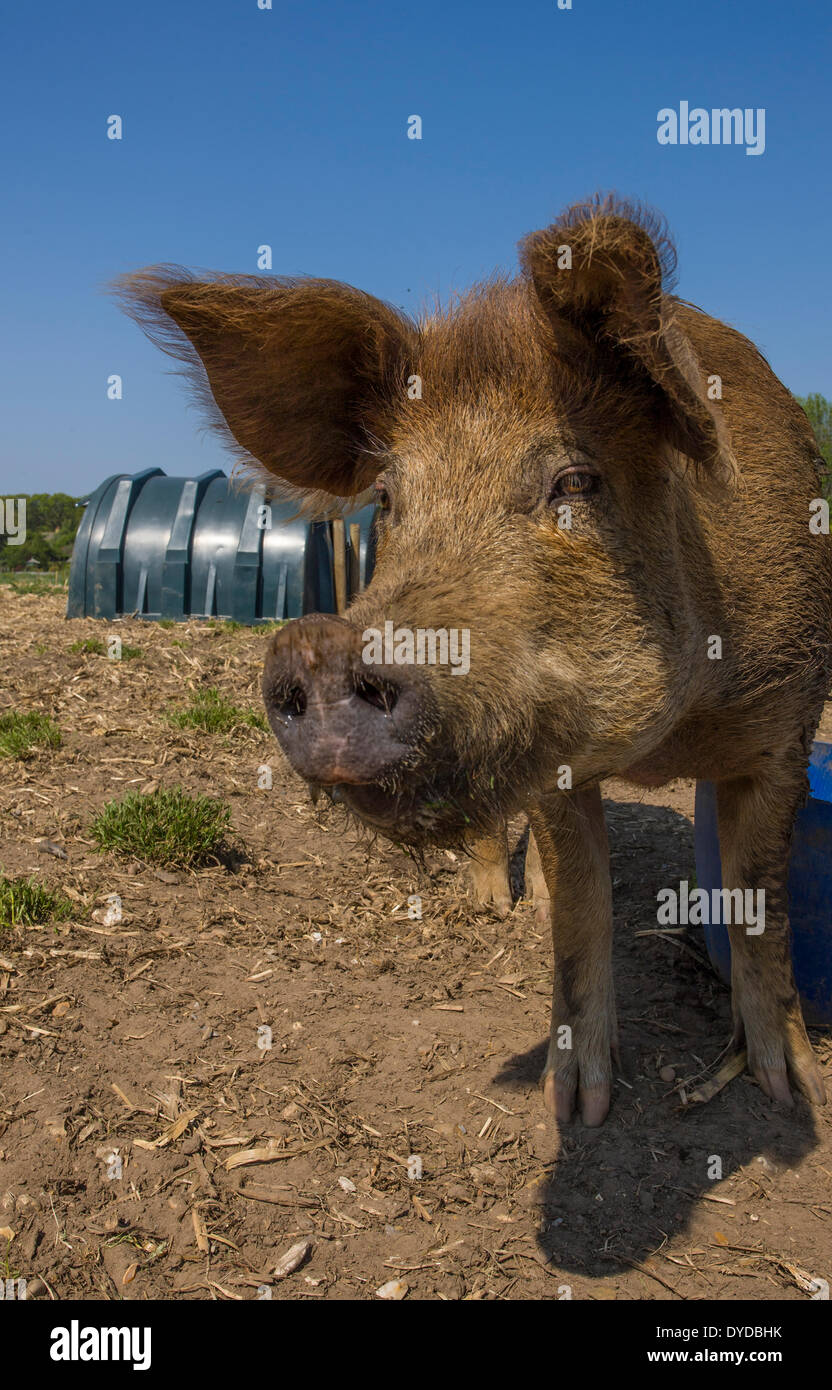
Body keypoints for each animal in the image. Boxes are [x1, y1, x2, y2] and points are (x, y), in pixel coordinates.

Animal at [118, 195, 832, 1128]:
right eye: (390, 498)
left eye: (576, 481)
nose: (319, 644)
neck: (667, 740)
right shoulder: (558, 764)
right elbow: (581, 919)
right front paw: (577, 1108)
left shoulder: (787, 730)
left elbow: (761, 908)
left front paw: (793, 1095)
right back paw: (494, 909)